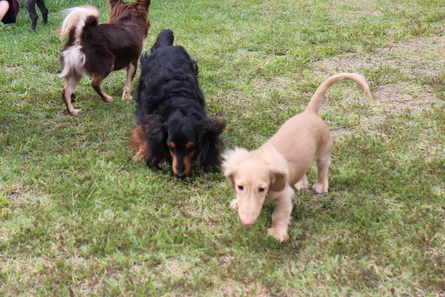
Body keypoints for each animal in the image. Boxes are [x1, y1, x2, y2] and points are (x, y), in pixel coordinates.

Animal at [222, 73, 372, 242]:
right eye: (240, 187)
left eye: (262, 189)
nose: (247, 222)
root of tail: (310, 112)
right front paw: (236, 202)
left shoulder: (286, 196)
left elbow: (279, 214)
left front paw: (277, 233)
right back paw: (302, 183)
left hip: (323, 150)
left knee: (322, 168)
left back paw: (321, 186)